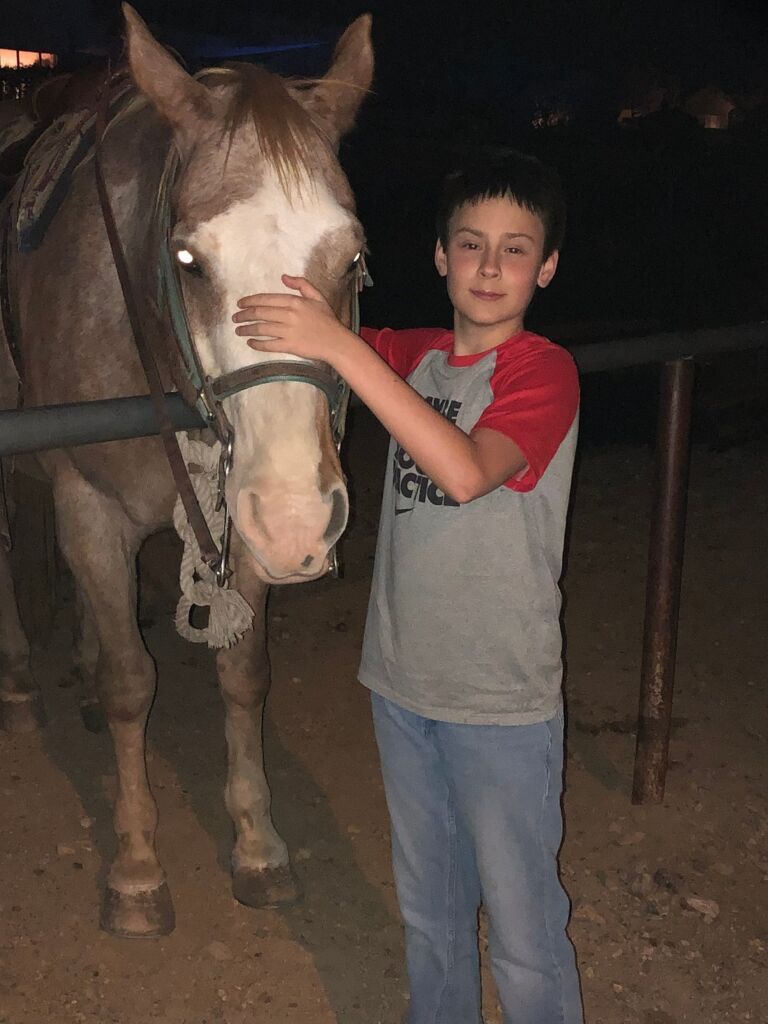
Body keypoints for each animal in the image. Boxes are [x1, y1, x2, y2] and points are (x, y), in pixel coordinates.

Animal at [0, 4, 373, 938]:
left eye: (352, 260)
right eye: (189, 261)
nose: (300, 518)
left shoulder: (244, 516)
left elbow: (243, 676)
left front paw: (258, 844)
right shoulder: (89, 506)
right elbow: (133, 683)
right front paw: (136, 867)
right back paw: (22, 683)